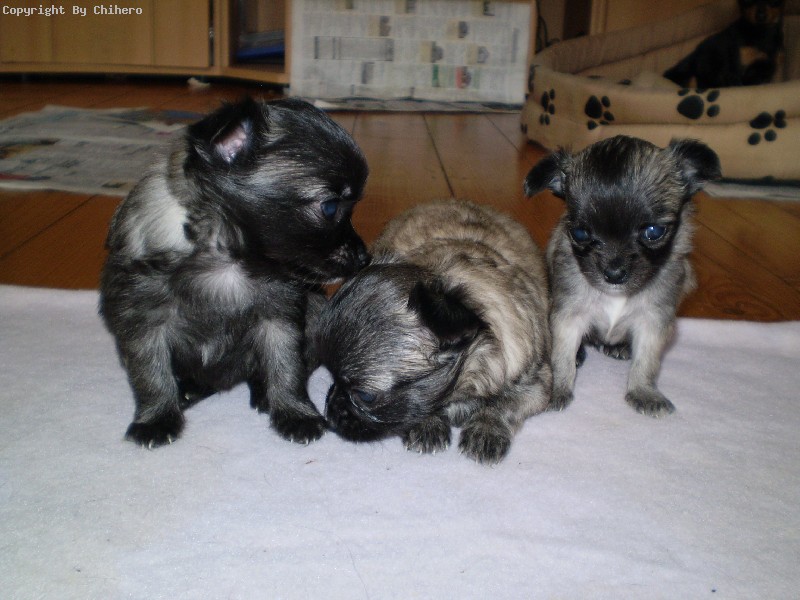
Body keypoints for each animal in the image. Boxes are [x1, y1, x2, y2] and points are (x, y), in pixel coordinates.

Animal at [99, 97, 369, 448]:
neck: (223, 258)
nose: (364, 257)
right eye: (330, 207)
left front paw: (295, 413)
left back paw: (262, 393)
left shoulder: (278, 318)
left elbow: (286, 367)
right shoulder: (144, 323)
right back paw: (187, 392)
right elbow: (151, 374)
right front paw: (156, 419)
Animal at [312, 200, 552, 464]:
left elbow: (505, 404)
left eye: (365, 396)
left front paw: (486, 430)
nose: (329, 412)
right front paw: (427, 425)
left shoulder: (537, 384)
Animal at [524, 135, 720, 417]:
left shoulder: (653, 322)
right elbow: (562, 357)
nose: (614, 273)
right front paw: (557, 390)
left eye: (654, 232)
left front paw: (643, 392)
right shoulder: (568, 317)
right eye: (580, 233)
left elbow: (646, 362)